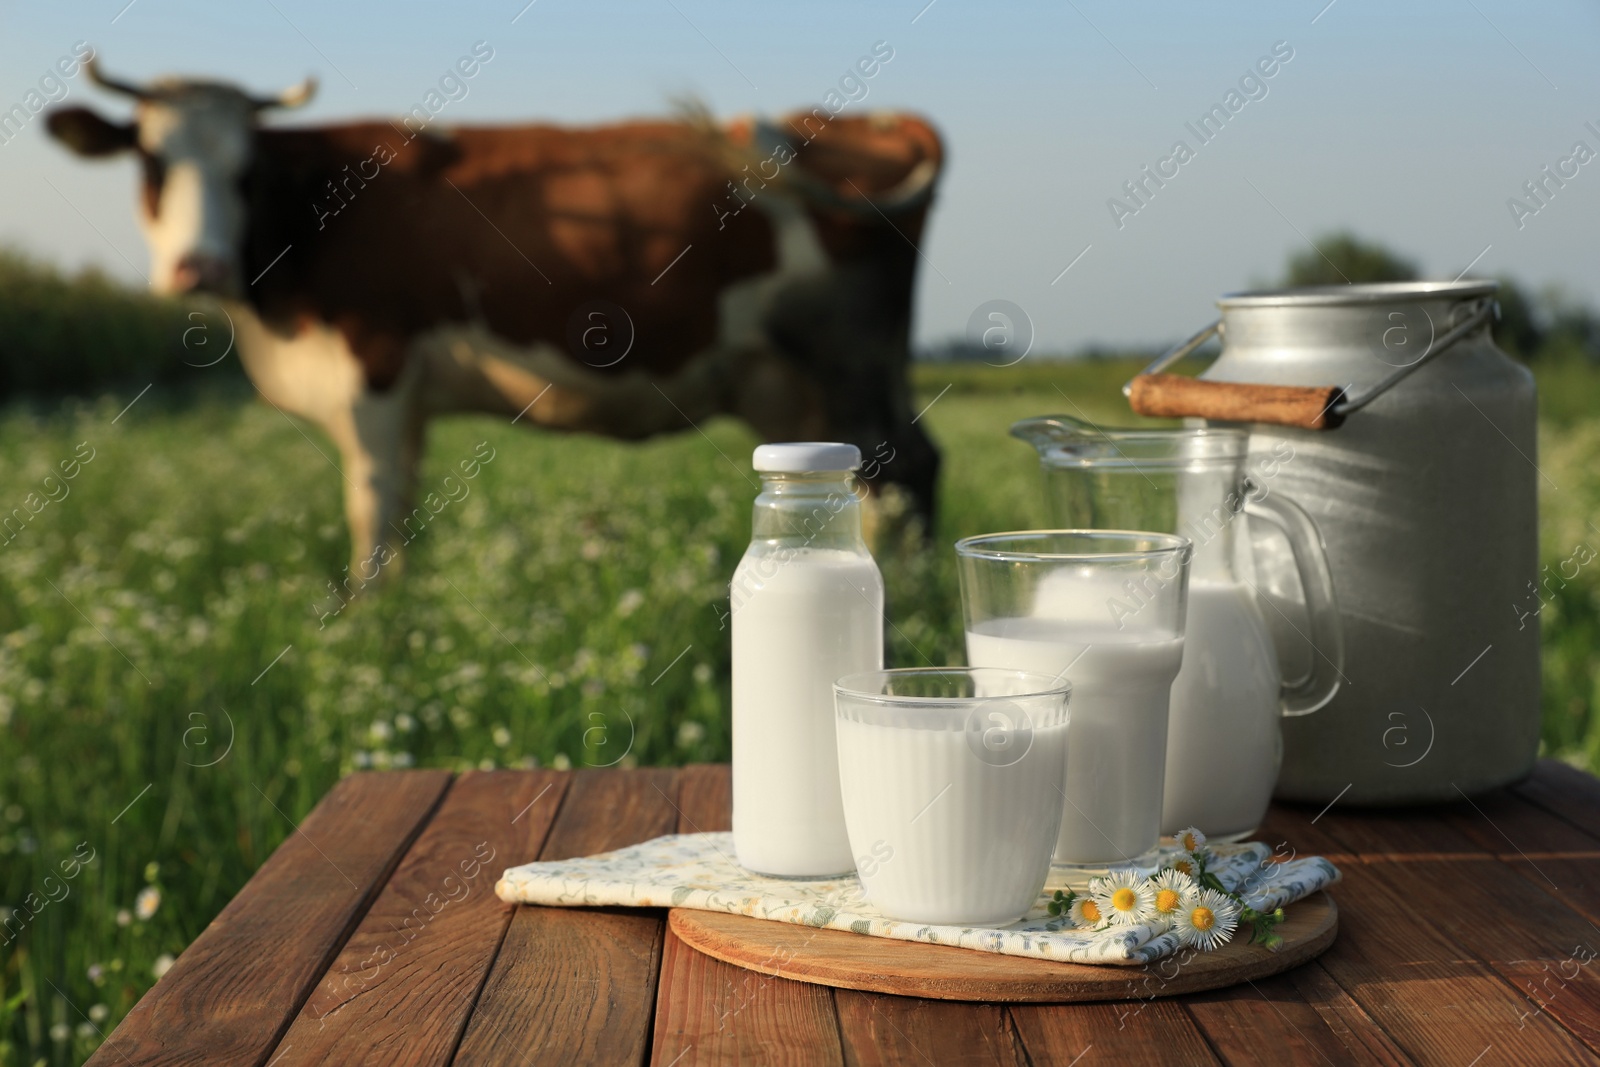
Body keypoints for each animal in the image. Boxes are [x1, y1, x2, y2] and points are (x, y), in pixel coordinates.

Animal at [50, 60, 940, 575]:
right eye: (152, 160)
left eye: (245, 170)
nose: (197, 266)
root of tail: (864, 120)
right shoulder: (405, 396)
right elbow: (400, 509)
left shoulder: (374, 363)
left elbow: (371, 511)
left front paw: (369, 624)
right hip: (803, 383)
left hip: (848, 356)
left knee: (905, 471)